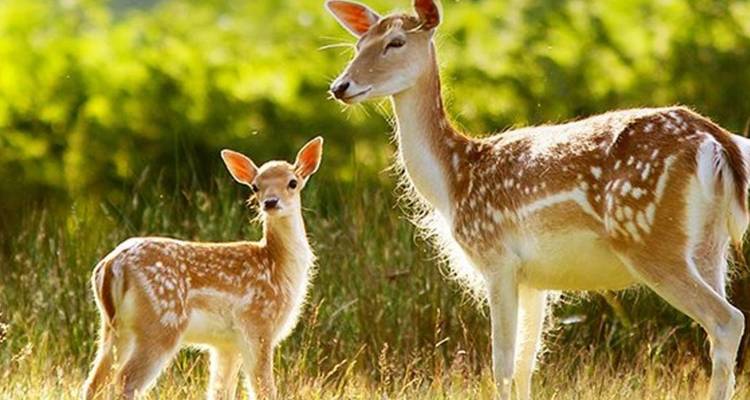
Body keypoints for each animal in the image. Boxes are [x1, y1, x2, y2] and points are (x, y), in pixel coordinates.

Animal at [82, 137, 323, 399]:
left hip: (113, 328)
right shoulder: (258, 324)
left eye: (293, 182)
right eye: (255, 187)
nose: (270, 202)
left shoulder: (226, 343)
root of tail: (111, 266)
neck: (278, 266)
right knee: (124, 383)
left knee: (94, 383)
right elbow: (264, 389)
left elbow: (219, 391)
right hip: (162, 322)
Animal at [326, 1, 750, 399]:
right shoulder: (535, 279)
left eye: (395, 42)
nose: (340, 87)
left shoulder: (496, 258)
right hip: (710, 245)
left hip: (649, 237)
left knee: (727, 320)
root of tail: (715, 141)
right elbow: (526, 365)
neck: (454, 181)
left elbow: (502, 365)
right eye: (359, 44)